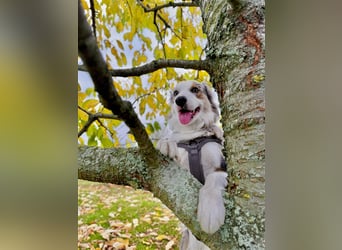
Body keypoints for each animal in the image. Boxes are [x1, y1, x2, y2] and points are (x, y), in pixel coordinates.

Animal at [157, 81, 227, 249]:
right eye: (176, 93)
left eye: (195, 89)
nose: (180, 100)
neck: (193, 138)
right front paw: (166, 142)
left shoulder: (221, 166)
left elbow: (212, 180)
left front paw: (210, 210)